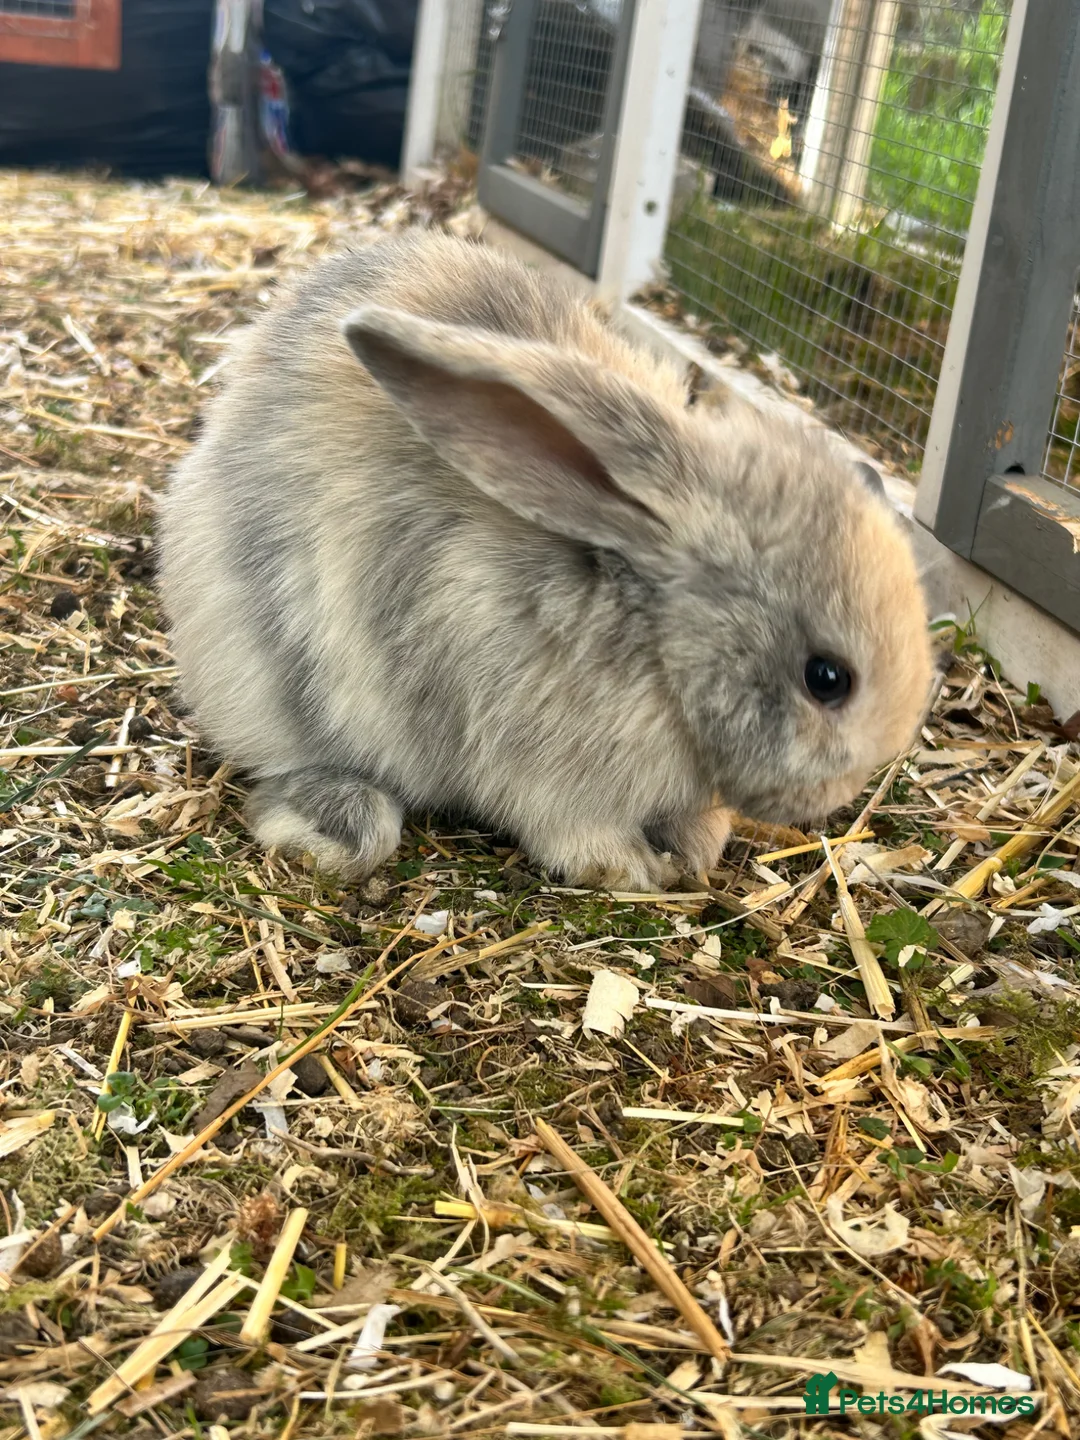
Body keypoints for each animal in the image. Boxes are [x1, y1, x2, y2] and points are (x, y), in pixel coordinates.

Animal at [157, 229, 934, 892]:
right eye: (826, 678)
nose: (835, 796)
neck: (656, 635)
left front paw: (695, 848)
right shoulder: (542, 770)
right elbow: (568, 826)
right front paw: (625, 869)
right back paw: (334, 826)